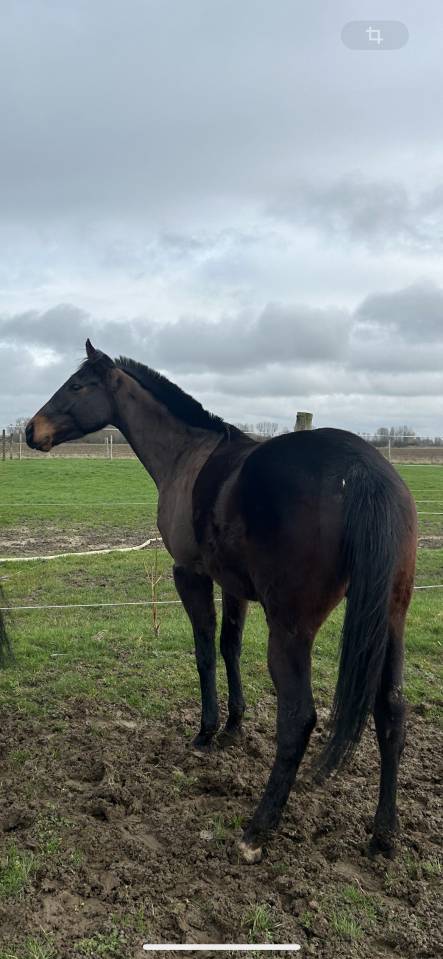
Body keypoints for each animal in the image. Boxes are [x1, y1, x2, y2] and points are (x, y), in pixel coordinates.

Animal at [26, 339, 417, 863]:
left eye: (77, 385)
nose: (31, 431)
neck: (186, 454)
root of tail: (363, 470)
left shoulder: (190, 574)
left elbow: (205, 650)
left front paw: (206, 731)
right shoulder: (234, 586)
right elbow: (230, 645)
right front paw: (234, 726)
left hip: (291, 631)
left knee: (299, 718)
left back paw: (258, 830)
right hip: (391, 620)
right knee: (391, 712)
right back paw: (383, 835)